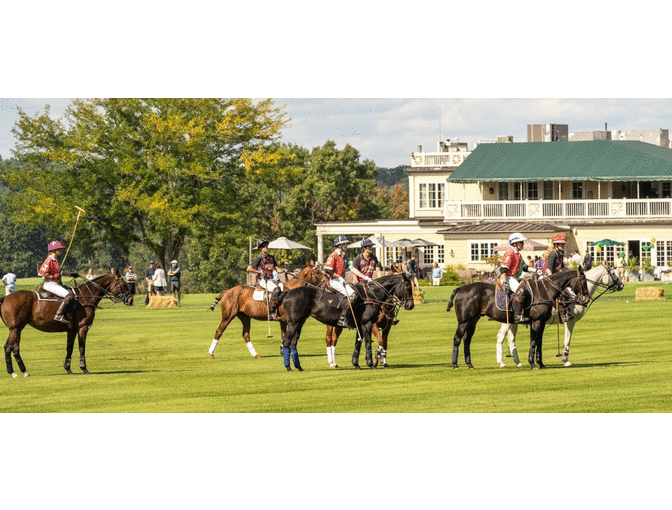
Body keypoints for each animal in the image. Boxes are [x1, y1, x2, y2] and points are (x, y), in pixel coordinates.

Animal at [0, 272, 130, 376]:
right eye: (123, 285)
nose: (130, 299)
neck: (86, 296)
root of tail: (5, 298)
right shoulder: (83, 327)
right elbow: (81, 347)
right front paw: (84, 369)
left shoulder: (72, 330)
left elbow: (69, 348)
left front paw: (68, 369)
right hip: (14, 328)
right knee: (8, 347)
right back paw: (12, 373)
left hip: (18, 328)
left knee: (15, 348)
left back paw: (25, 371)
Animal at [270, 274, 412, 370]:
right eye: (408, 287)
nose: (411, 305)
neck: (371, 295)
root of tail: (287, 292)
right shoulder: (367, 323)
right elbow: (367, 342)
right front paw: (371, 362)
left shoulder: (360, 325)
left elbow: (358, 343)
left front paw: (356, 364)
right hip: (293, 323)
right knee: (286, 342)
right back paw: (288, 367)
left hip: (300, 322)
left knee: (293, 343)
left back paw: (298, 367)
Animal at [446, 266, 588, 370]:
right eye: (583, 281)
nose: (585, 299)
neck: (544, 291)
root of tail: (461, 288)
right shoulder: (536, 322)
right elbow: (533, 342)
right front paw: (533, 364)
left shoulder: (541, 322)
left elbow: (539, 343)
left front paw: (541, 364)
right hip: (463, 321)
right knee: (457, 338)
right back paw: (455, 364)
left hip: (473, 320)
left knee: (467, 339)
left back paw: (469, 364)